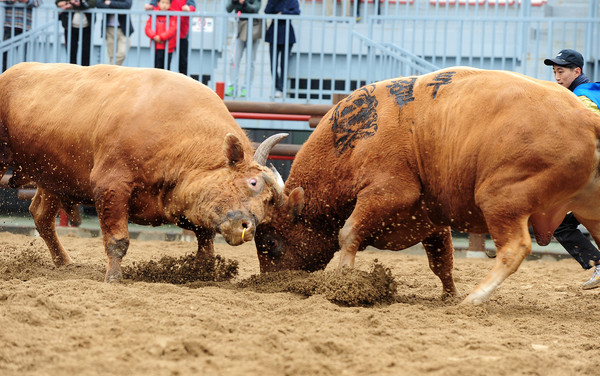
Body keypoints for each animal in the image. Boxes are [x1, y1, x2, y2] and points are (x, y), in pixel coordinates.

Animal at [0, 62, 288, 282]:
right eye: (252, 182)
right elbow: (118, 241)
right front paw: (114, 277)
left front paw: (201, 272)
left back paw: (64, 262)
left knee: (40, 215)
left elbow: (205, 244)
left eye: (269, 204)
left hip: (53, 180)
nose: (248, 228)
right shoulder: (111, 186)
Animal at [255, 66, 600, 304]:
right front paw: (448, 294)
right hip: (589, 207)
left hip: (501, 199)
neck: (354, 140)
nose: (269, 284)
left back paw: (475, 298)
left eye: (272, 241)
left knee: (514, 248)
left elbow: (348, 234)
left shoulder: (387, 192)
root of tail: (585, 116)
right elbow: (441, 261)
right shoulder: (433, 221)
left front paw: (343, 283)